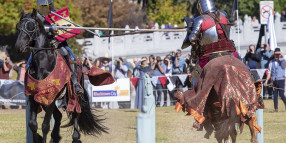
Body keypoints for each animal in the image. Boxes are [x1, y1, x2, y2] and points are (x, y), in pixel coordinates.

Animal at [15, 8, 108, 143]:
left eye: (31, 27)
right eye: (18, 27)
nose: (18, 47)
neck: (42, 64)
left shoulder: (51, 97)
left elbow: (45, 125)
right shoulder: (34, 97)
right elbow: (33, 124)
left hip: (73, 94)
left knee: (75, 114)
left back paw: (75, 137)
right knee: (58, 115)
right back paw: (55, 137)